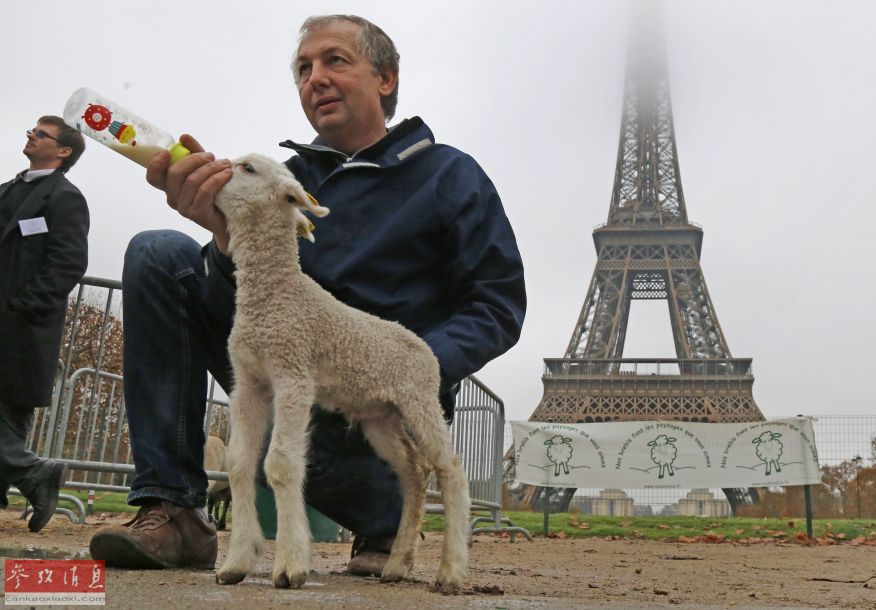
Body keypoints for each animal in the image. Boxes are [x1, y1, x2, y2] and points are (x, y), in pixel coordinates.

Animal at [213, 154, 472, 592]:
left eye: (247, 168)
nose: (212, 167)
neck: (275, 294)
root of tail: (422, 346)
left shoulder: (294, 372)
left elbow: (280, 464)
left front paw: (290, 567)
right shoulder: (249, 382)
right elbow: (238, 464)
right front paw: (236, 563)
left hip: (420, 400)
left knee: (450, 469)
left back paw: (451, 571)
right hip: (381, 416)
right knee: (414, 473)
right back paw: (396, 564)